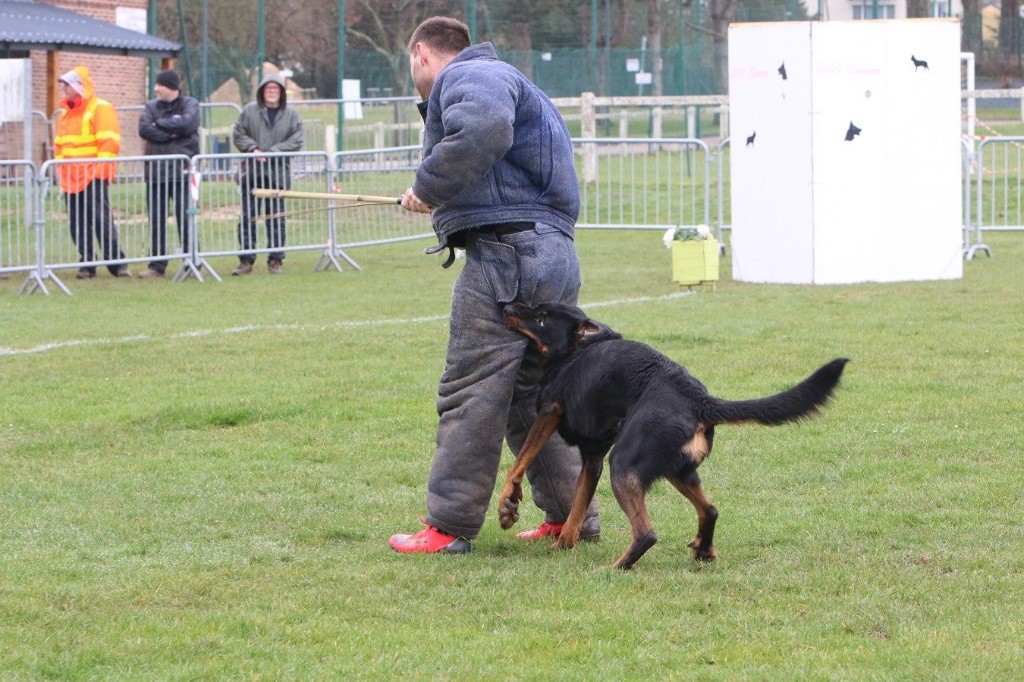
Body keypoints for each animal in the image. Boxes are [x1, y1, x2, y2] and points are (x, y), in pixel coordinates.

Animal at [497, 303, 847, 569]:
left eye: (542, 317)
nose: (507, 306)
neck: (575, 351)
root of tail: (698, 399)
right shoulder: (592, 458)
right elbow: (578, 506)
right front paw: (563, 544)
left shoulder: (549, 411)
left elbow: (520, 462)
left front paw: (508, 502)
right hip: (677, 468)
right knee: (710, 510)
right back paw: (704, 550)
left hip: (624, 466)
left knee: (646, 534)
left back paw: (615, 568)